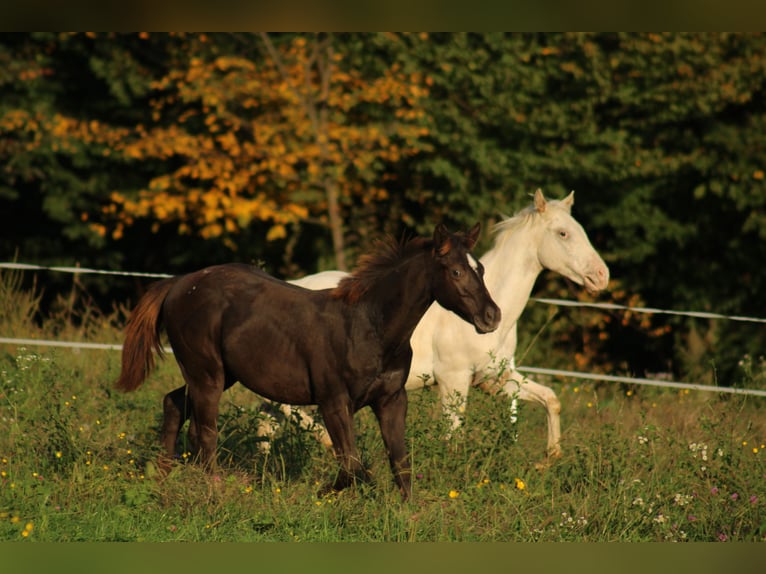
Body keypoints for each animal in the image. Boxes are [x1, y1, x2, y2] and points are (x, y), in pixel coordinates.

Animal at [284, 191, 608, 462]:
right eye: (563, 233)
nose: (601, 276)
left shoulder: (495, 379)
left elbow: (551, 399)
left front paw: (551, 457)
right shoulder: (454, 380)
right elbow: (454, 436)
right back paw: (325, 441)